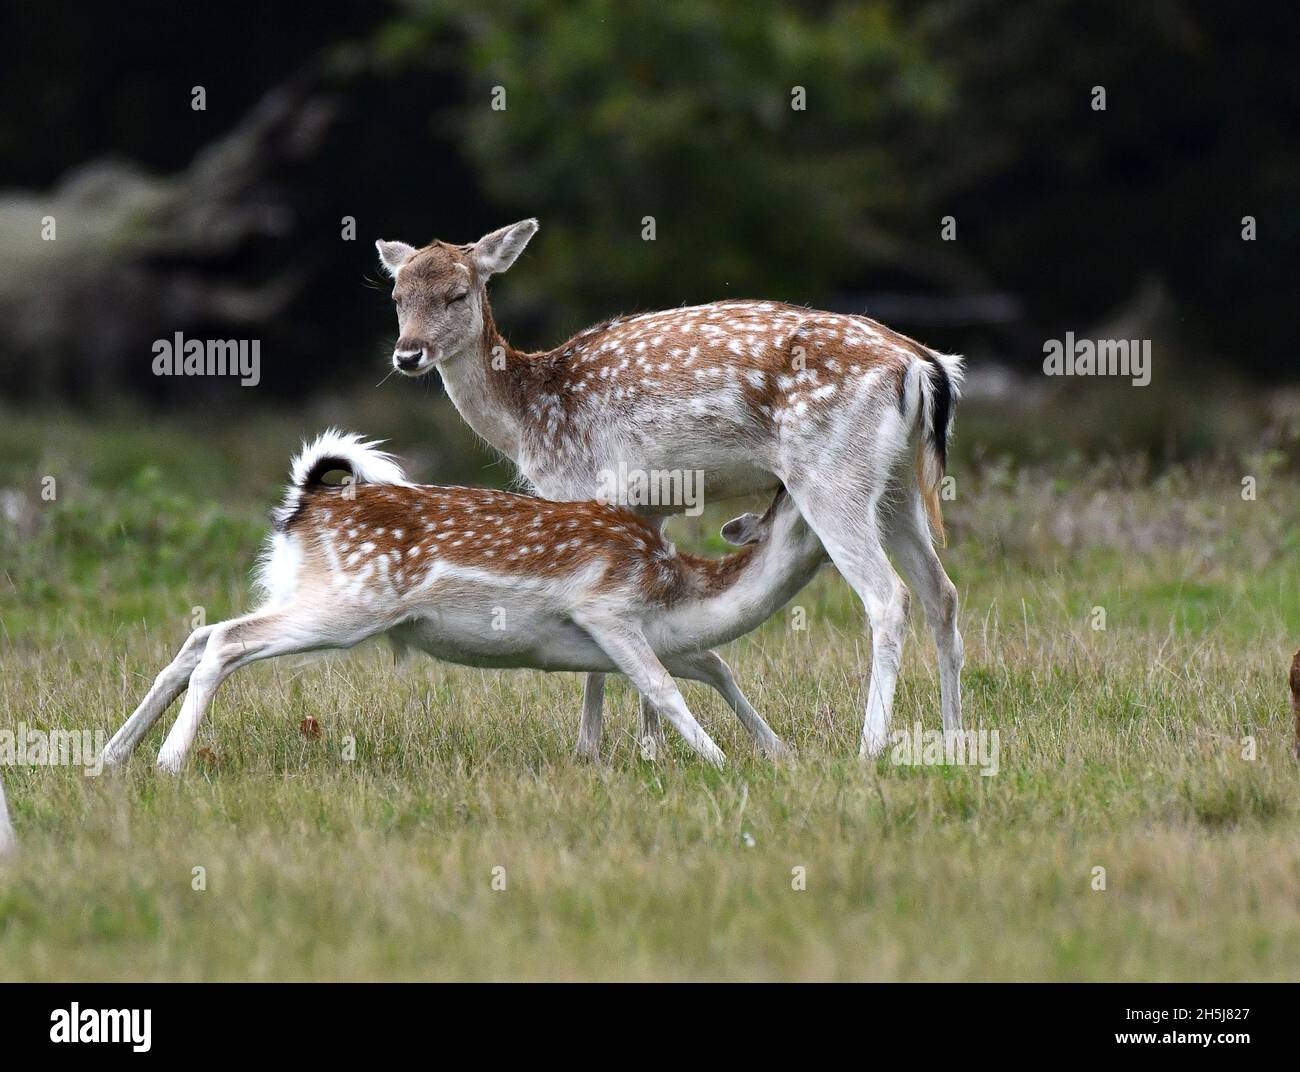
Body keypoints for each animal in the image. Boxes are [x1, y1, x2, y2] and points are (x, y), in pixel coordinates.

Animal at [102, 432, 828, 773]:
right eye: (796, 493)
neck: (680, 590)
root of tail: (302, 505)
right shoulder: (607, 608)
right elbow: (663, 688)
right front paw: (720, 764)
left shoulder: (660, 637)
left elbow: (716, 666)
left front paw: (778, 754)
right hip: (347, 604)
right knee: (226, 640)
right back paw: (168, 761)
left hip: (307, 592)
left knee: (199, 636)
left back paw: (113, 756)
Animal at [375, 219, 964, 758]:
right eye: (397, 296)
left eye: (457, 294)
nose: (407, 354)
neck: (527, 421)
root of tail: (922, 364)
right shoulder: (651, 505)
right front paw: (649, 748)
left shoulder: (588, 489)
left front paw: (590, 749)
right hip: (897, 486)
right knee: (943, 594)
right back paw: (954, 741)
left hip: (830, 472)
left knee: (889, 597)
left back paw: (870, 747)